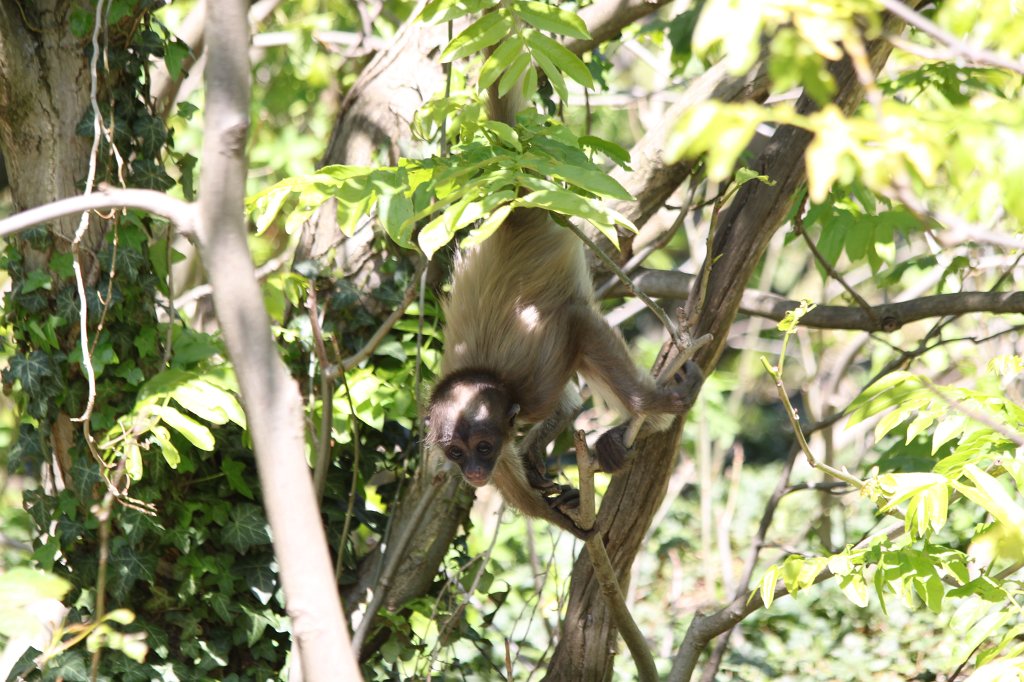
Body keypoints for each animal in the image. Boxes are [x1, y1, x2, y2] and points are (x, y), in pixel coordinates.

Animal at [425, 77, 704, 540]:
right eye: (456, 452)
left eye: (482, 446)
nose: (474, 472)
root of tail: (514, 205)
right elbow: (517, 481)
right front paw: (570, 520)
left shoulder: (533, 390)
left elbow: (576, 325)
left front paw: (651, 404)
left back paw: (647, 421)